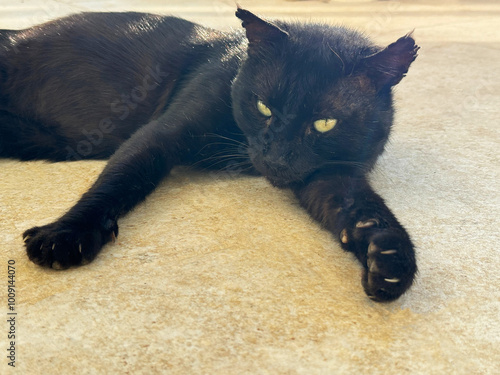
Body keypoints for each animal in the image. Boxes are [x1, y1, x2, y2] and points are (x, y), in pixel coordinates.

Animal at [0, 8, 418, 302]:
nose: (276, 158)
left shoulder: (331, 175)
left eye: (325, 123)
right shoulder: (159, 136)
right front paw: (65, 234)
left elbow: (364, 208)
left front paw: (390, 258)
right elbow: (115, 183)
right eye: (263, 107)